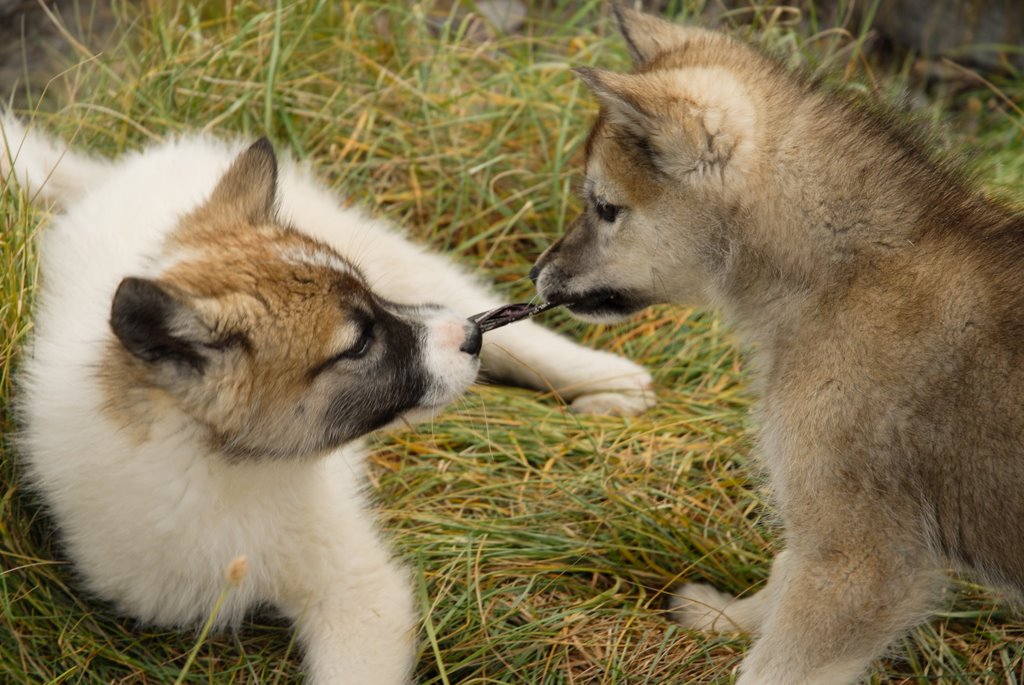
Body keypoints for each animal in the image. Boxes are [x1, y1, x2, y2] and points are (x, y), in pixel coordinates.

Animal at [532, 6, 1024, 683]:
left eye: (606, 208)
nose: (537, 274)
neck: (849, 275)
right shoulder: (817, 533)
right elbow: (781, 573)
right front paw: (728, 618)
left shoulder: (860, 563)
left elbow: (777, 664)